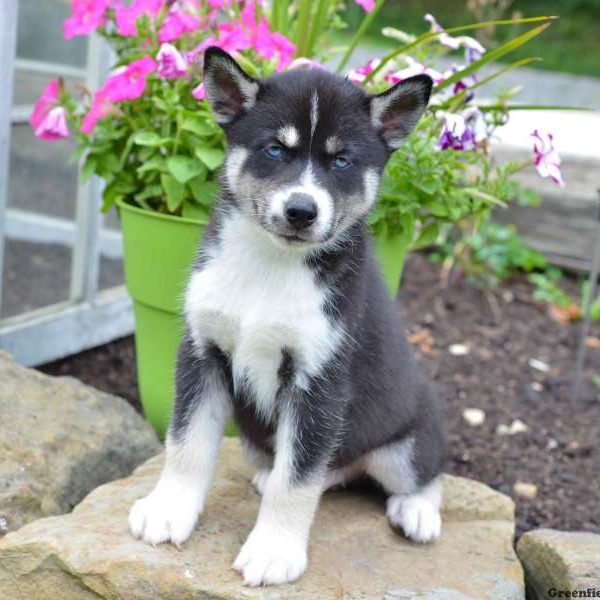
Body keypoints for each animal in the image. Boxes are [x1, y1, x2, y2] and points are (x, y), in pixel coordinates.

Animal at [127, 47, 446, 584]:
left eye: (342, 161)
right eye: (275, 150)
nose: (301, 210)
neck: (270, 266)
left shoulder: (318, 381)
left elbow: (295, 481)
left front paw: (274, 550)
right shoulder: (202, 353)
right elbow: (186, 444)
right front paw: (169, 510)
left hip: (404, 440)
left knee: (423, 472)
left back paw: (417, 510)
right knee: (315, 470)